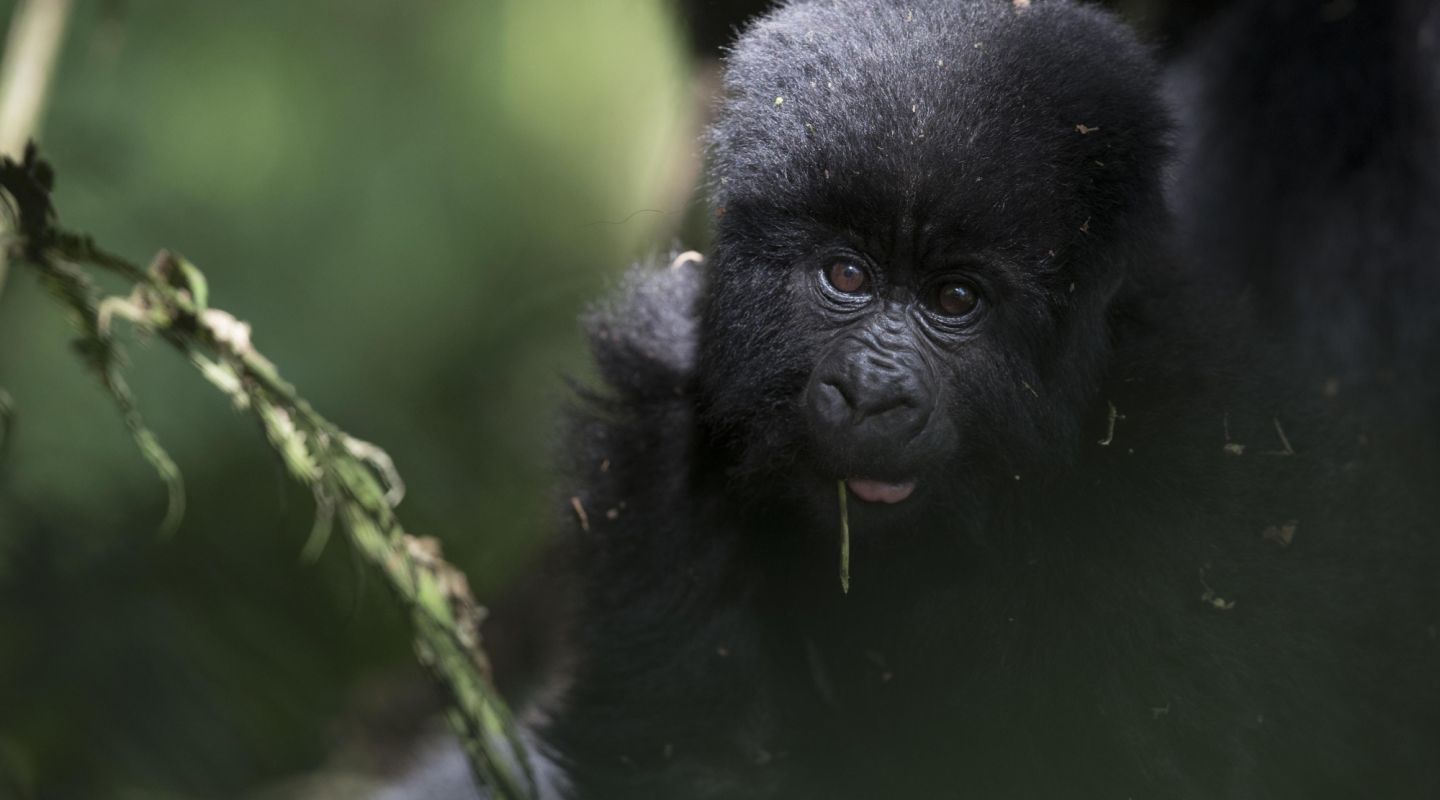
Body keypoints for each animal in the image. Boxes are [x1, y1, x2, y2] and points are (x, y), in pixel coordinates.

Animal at [532, 1, 1440, 800]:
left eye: (956, 298)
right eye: (847, 275)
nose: (870, 397)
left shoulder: (1203, 484)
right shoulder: (660, 407)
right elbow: (698, 754)